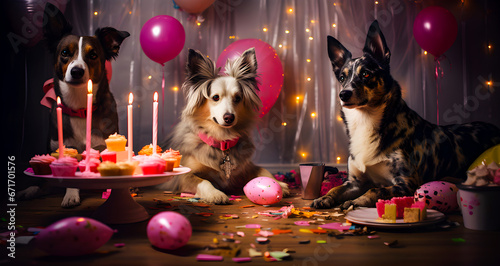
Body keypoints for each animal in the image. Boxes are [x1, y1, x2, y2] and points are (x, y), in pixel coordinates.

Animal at [312, 19, 500, 209]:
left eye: (365, 74)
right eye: (342, 78)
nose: (343, 94)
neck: (366, 121)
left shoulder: (406, 183)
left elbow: (376, 190)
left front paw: (357, 201)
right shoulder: (355, 182)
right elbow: (336, 188)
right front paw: (324, 197)